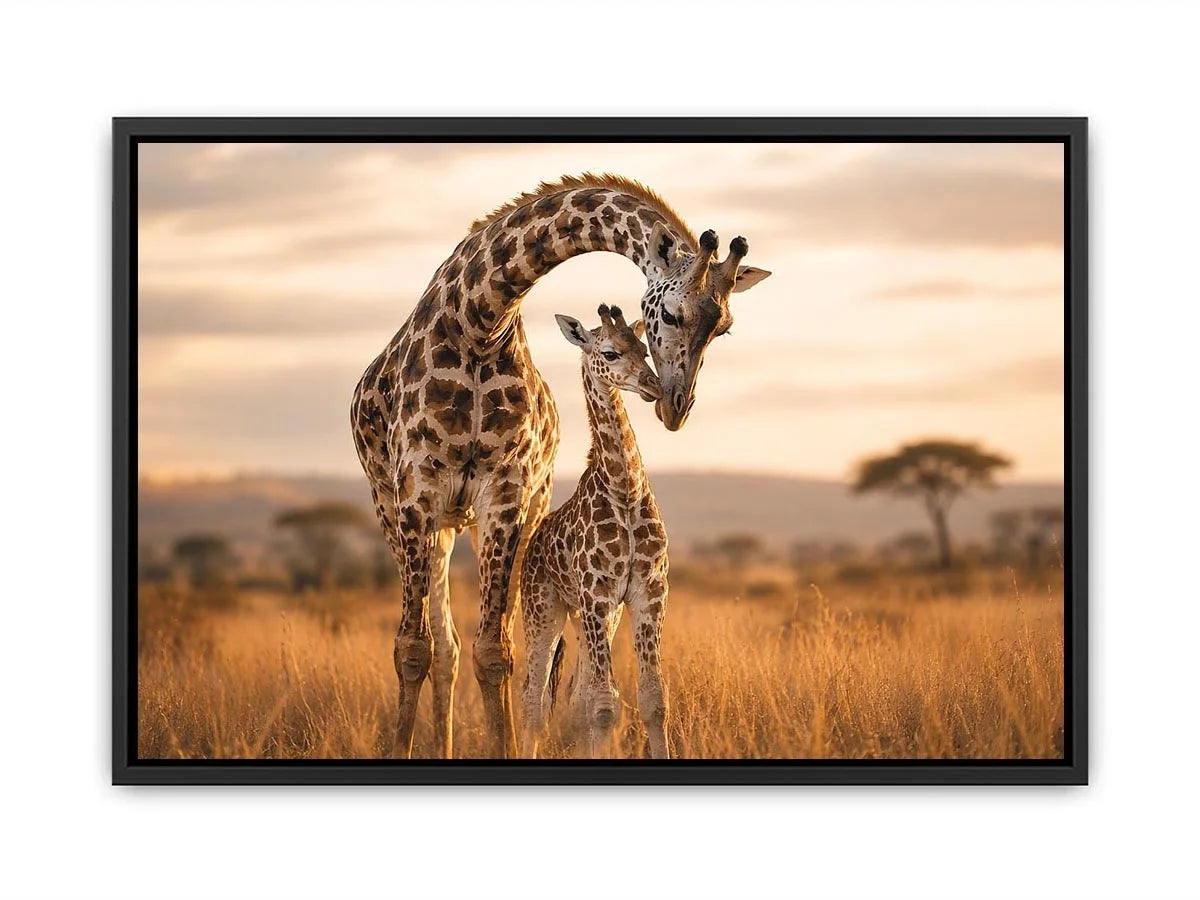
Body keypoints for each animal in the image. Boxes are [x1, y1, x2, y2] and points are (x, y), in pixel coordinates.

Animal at [519, 304, 670, 759]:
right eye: (609, 352)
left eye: (643, 347)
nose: (654, 386)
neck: (625, 489)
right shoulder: (596, 594)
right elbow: (605, 705)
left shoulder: (647, 593)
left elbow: (652, 699)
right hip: (544, 611)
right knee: (533, 699)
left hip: (593, 616)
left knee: (577, 693)